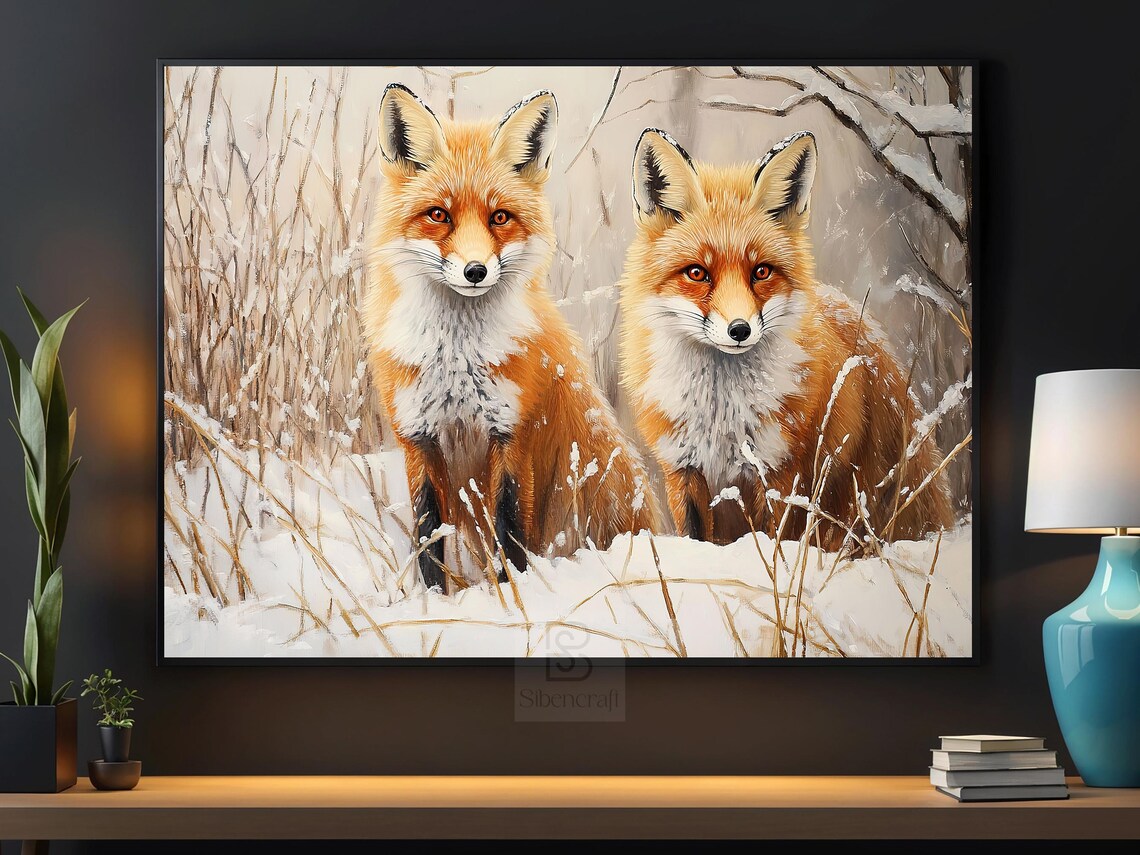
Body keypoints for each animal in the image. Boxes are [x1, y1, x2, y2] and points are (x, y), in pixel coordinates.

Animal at [363, 84, 661, 593]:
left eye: (499, 217)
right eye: (439, 215)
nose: (475, 271)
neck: (456, 361)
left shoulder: (512, 433)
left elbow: (510, 531)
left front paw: (511, 596)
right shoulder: (417, 438)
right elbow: (428, 536)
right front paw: (435, 601)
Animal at [617, 128, 954, 550]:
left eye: (761, 271)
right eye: (697, 273)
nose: (739, 330)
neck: (721, 414)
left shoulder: (779, 472)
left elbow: (773, 544)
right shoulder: (683, 470)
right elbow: (698, 540)